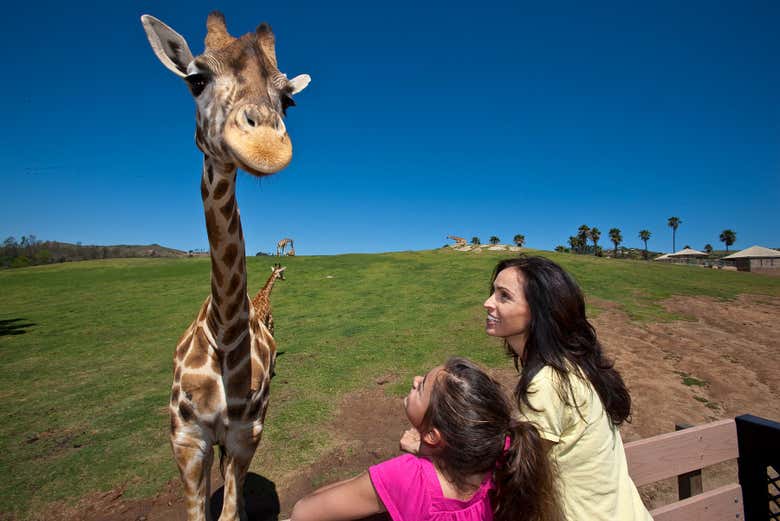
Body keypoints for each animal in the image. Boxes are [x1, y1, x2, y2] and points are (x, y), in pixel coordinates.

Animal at [140, 11, 310, 520]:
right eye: (195, 79)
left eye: (288, 99)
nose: (265, 145)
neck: (225, 330)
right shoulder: (185, 439)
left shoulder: (245, 435)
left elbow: (230, 511)